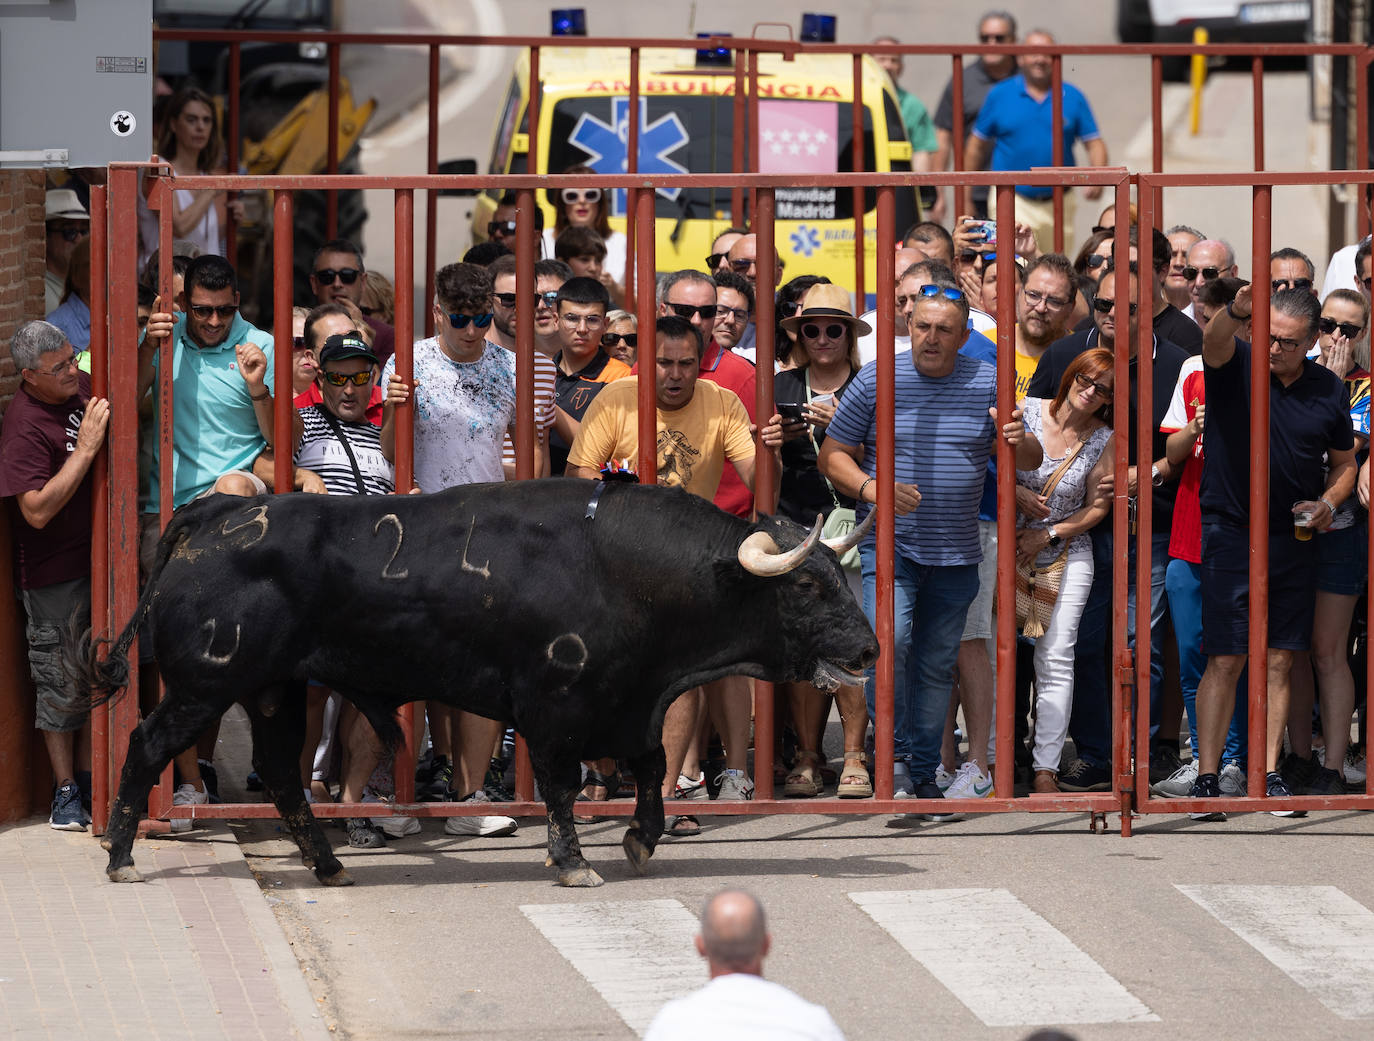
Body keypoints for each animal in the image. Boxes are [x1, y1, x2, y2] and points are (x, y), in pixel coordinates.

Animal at [85, 480, 873, 889]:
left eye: (840, 577)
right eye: (807, 585)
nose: (868, 646)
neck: (623, 568)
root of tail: (212, 514)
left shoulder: (632, 704)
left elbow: (651, 768)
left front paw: (640, 839)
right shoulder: (554, 704)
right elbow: (561, 785)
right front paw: (573, 862)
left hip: (274, 689)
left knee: (280, 774)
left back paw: (330, 864)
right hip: (204, 685)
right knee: (146, 745)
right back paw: (122, 857)